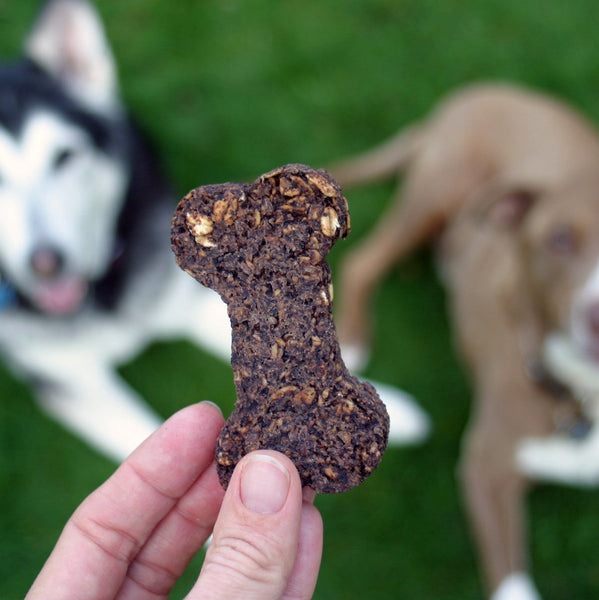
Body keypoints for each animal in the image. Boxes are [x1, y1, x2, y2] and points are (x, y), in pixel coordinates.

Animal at [330, 83, 599, 600]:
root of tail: (485, 90)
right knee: (363, 261)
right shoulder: (487, 470)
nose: (597, 317)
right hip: (440, 189)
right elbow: (513, 586)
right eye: (559, 240)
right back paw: (352, 341)